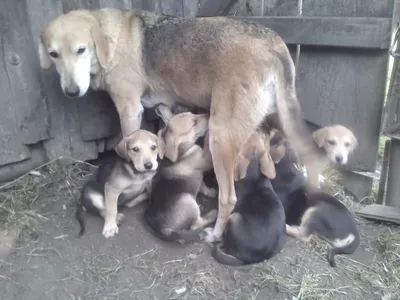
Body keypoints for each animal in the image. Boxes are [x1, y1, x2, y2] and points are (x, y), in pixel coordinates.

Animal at [145, 105, 219, 244]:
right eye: (193, 123)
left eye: (193, 114)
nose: (209, 113)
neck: (183, 150)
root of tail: (161, 227)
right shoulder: (205, 159)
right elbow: (207, 144)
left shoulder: (199, 173)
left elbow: (203, 185)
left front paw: (210, 192)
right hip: (188, 201)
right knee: (195, 224)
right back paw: (213, 214)